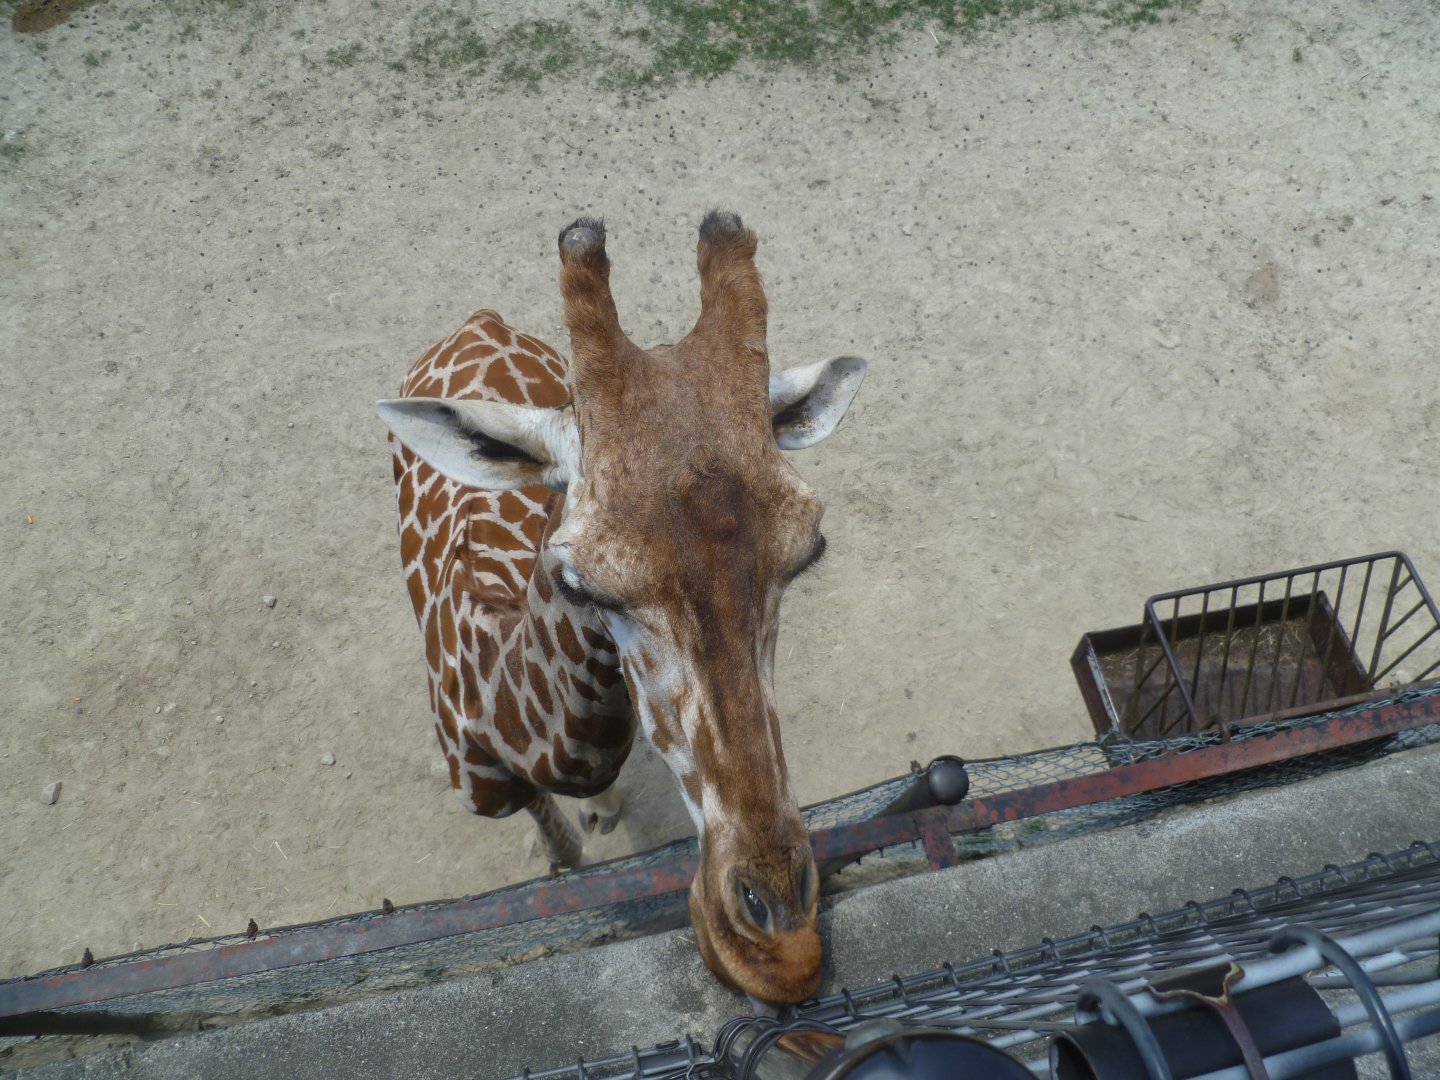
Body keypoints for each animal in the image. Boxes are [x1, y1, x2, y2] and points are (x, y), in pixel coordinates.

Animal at [378, 211, 866, 1004]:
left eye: (808, 551)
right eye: (581, 584)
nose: (774, 943)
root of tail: (478, 323)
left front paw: (603, 813)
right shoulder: (481, 787)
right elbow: (562, 854)